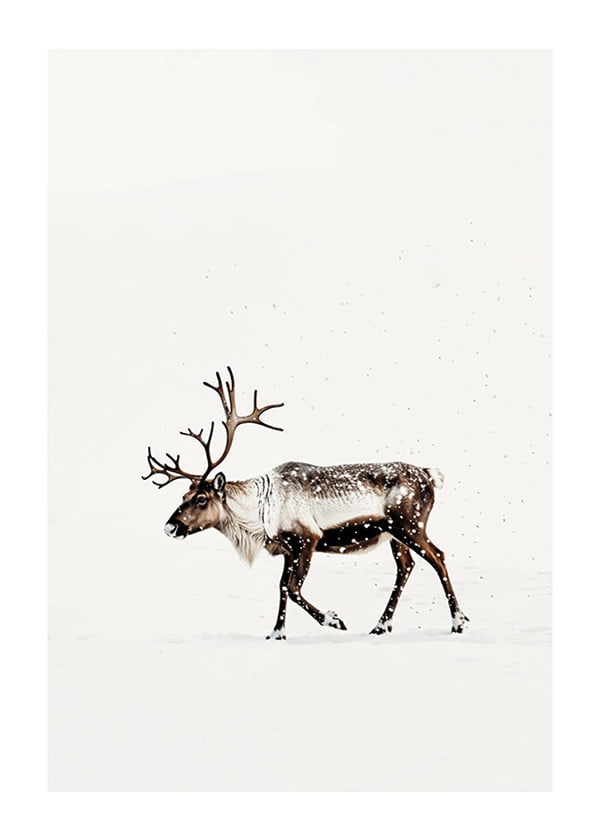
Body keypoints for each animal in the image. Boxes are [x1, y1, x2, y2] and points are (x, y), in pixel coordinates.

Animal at [143, 368, 469, 640]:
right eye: (182, 496)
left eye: (201, 498)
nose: (170, 527)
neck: (259, 517)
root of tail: (429, 474)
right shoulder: (288, 548)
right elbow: (281, 587)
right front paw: (276, 633)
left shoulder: (307, 539)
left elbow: (292, 587)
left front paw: (334, 620)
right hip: (393, 534)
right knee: (406, 565)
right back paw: (381, 625)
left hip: (409, 525)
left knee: (437, 557)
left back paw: (458, 622)